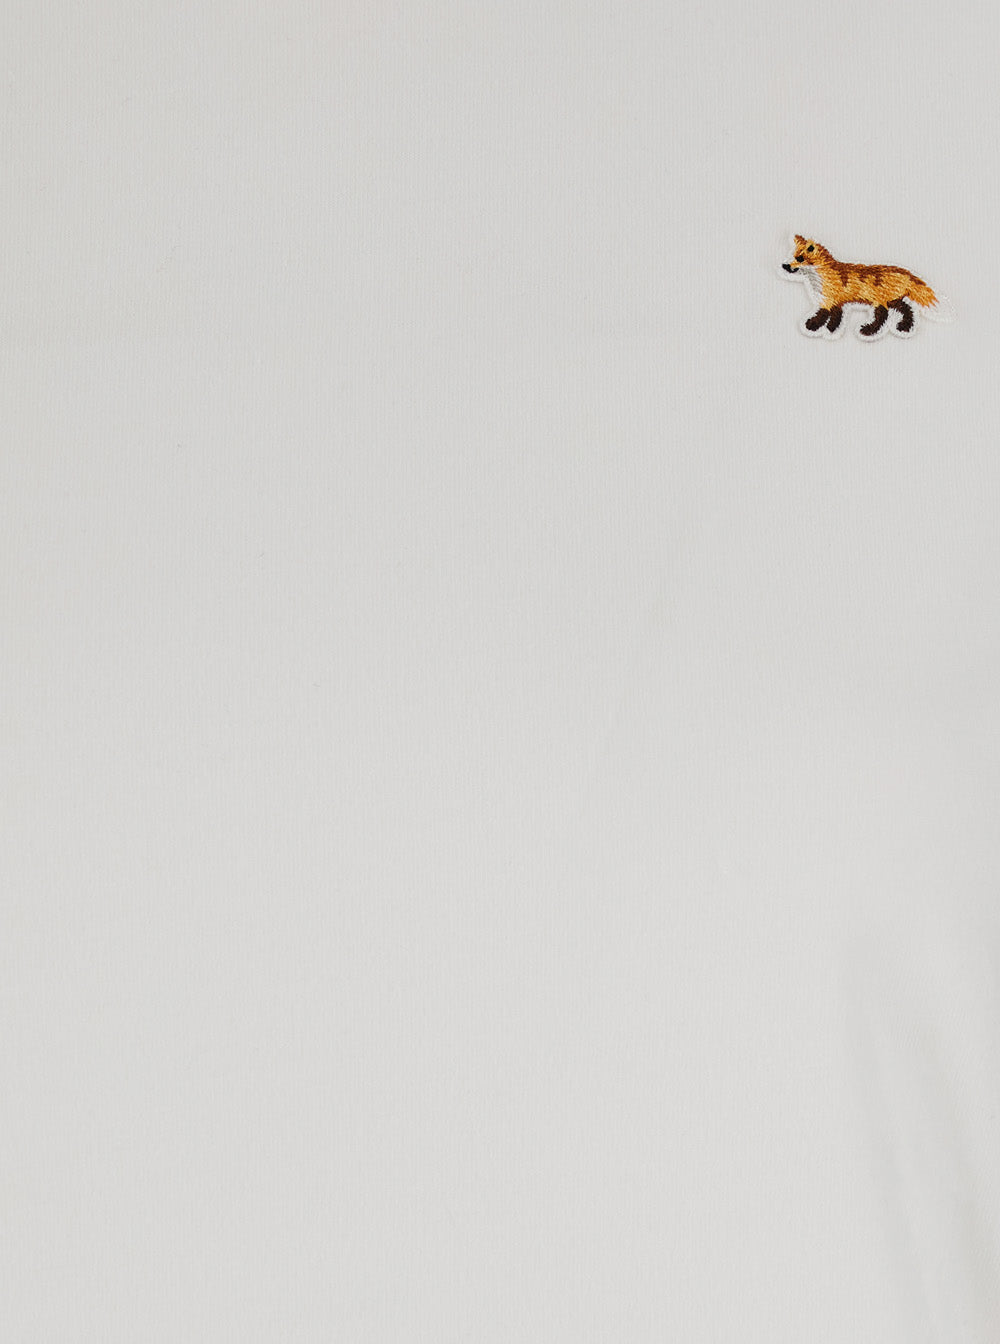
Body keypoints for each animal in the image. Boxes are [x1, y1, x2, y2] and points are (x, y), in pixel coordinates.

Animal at [781, 235, 951, 339]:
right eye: (792, 255)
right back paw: (904, 327)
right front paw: (821, 328)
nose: (784, 265)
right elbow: (828, 316)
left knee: (882, 316)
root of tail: (906, 272)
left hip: (880, 301)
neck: (819, 279)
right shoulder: (830, 301)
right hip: (893, 300)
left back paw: (869, 330)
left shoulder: (832, 300)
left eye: (799, 258)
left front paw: (822, 329)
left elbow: (829, 317)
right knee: (907, 310)